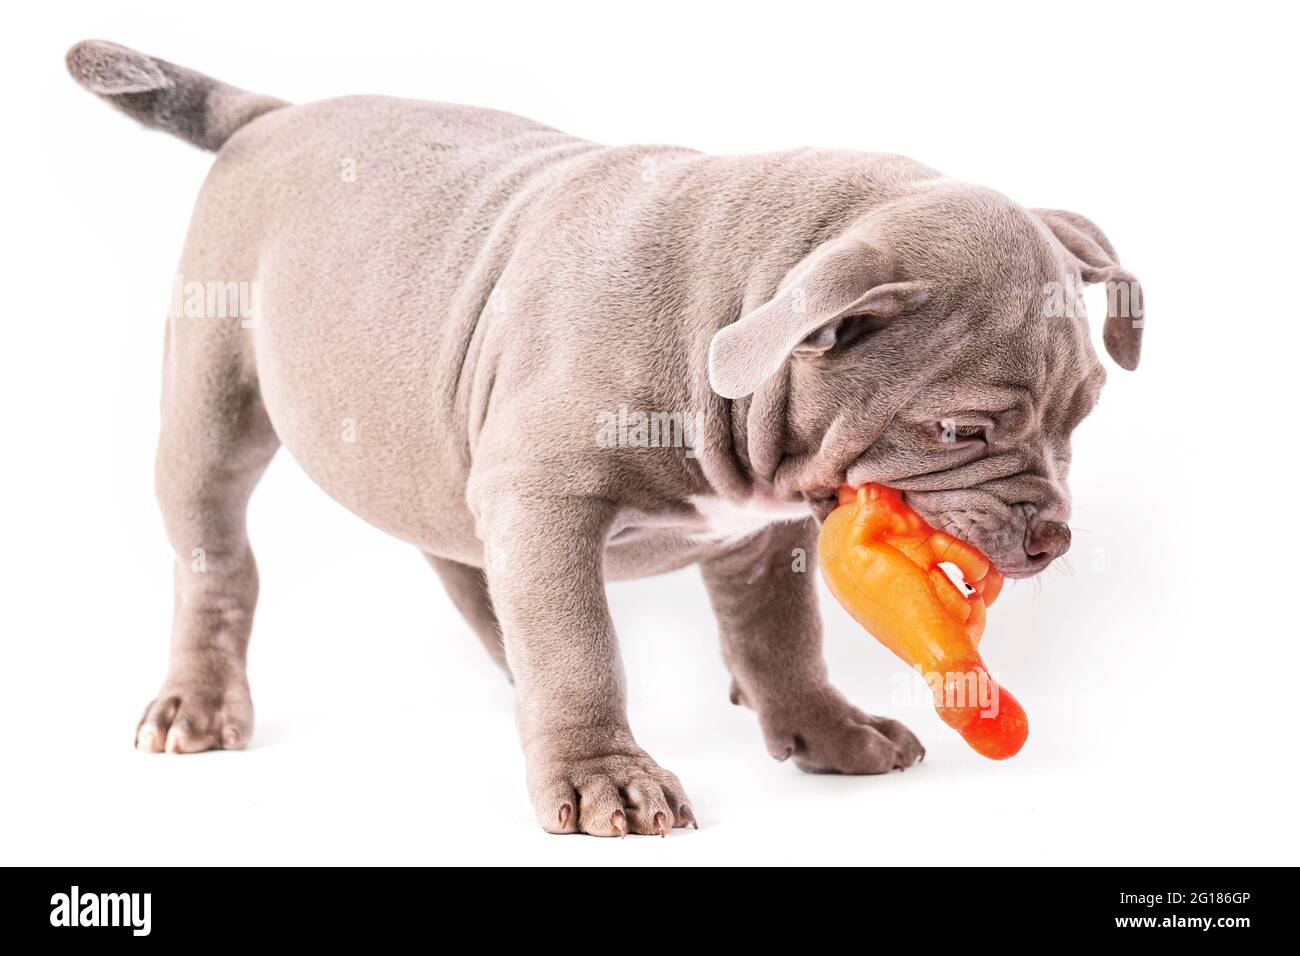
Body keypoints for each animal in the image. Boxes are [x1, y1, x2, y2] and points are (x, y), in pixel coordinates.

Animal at [65, 42, 1144, 837]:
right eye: (960, 427)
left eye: (1085, 412)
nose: (1053, 536)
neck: (735, 297)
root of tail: (269, 115)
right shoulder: (545, 496)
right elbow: (580, 643)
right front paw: (602, 775)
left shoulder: (756, 537)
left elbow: (781, 637)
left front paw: (821, 728)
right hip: (212, 408)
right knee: (217, 558)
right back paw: (198, 704)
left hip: (436, 443)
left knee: (456, 548)